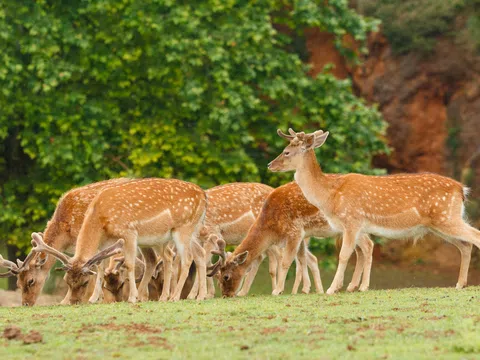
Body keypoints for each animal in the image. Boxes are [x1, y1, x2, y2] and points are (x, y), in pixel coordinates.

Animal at [30, 179, 208, 302]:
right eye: (67, 281)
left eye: (84, 282)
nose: (74, 302)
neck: (100, 217)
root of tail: (203, 194)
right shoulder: (104, 243)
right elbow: (100, 267)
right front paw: (93, 299)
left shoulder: (128, 232)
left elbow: (129, 264)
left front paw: (132, 297)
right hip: (185, 232)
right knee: (193, 254)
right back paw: (192, 296)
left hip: (183, 228)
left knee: (187, 259)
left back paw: (174, 297)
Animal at [208, 181, 374, 296]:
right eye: (218, 276)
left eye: (226, 277)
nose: (226, 295)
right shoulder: (302, 233)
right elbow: (301, 258)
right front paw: (305, 289)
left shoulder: (294, 231)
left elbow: (286, 261)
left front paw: (278, 290)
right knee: (359, 250)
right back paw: (351, 286)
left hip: (353, 223)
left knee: (368, 245)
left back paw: (363, 286)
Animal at [270, 128, 476, 294]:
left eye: (286, 152)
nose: (270, 165)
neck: (330, 196)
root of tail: (461, 189)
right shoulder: (355, 227)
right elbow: (360, 252)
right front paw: (352, 286)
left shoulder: (351, 221)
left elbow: (344, 255)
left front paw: (332, 289)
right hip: (439, 224)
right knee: (465, 245)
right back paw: (460, 284)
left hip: (446, 217)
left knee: (475, 236)